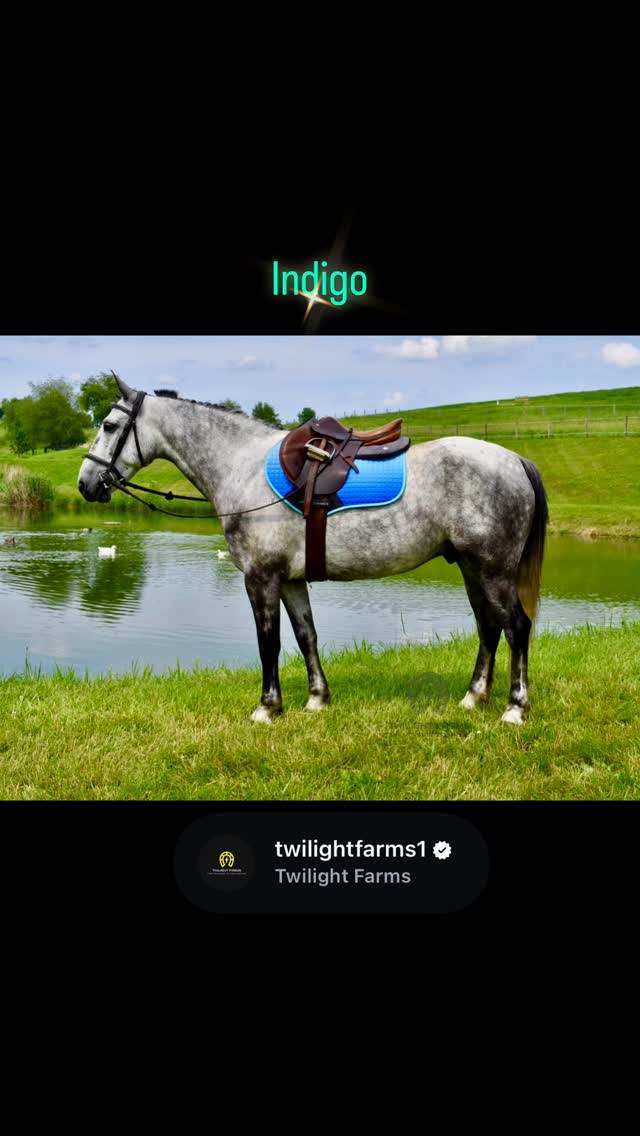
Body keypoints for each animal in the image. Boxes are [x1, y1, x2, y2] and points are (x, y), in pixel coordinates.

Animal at [77, 374, 548, 726]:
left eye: (109, 426)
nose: (85, 483)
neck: (242, 466)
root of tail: (514, 460)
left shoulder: (261, 578)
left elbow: (268, 642)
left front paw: (267, 708)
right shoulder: (291, 580)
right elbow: (306, 635)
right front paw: (317, 699)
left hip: (492, 570)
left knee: (516, 626)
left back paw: (514, 708)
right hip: (472, 568)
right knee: (488, 627)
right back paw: (473, 697)